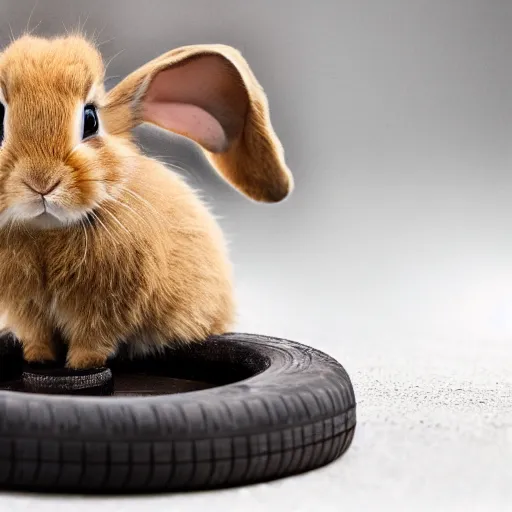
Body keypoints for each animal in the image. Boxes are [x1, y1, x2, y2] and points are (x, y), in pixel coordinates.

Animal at [0, 35, 292, 368]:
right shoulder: (27, 310)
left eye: (91, 120)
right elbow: (36, 334)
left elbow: (92, 338)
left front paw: (82, 364)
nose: (41, 181)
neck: (48, 231)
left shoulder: (106, 308)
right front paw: (38, 359)